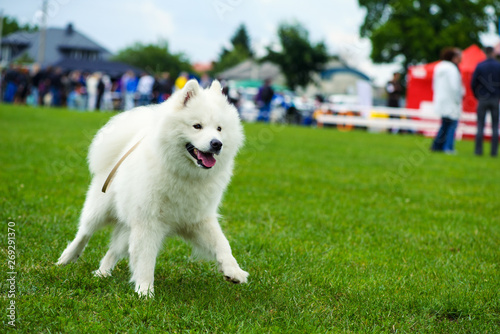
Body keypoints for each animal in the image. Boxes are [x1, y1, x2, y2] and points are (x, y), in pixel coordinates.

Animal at [57, 79, 249, 296]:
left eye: (219, 129)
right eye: (197, 126)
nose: (217, 144)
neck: (184, 175)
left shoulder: (198, 219)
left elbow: (222, 243)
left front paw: (233, 270)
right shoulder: (148, 222)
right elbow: (145, 259)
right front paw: (145, 290)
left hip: (127, 225)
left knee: (113, 250)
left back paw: (102, 273)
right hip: (101, 208)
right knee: (84, 232)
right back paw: (67, 257)